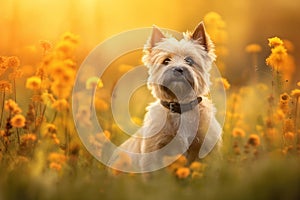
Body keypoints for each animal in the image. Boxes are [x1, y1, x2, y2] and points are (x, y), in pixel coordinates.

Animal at [109, 21, 221, 172]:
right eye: (166, 61)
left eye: (189, 61)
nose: (178, 69)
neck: (180, 108)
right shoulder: (154, 150)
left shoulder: (207, 145)